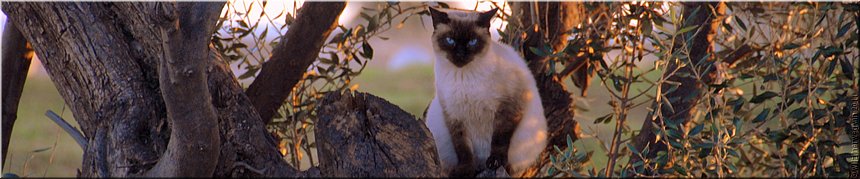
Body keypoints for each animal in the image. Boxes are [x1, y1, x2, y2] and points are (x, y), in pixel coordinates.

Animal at [424, 6, 552, 176]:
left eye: (472, 42)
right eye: (450, 40)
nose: (460, 54)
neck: (464, 78)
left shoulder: (507, 108)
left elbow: (499, 140)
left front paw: (495, 162)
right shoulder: (454, 116)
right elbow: (463, 149)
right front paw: (465, 170)